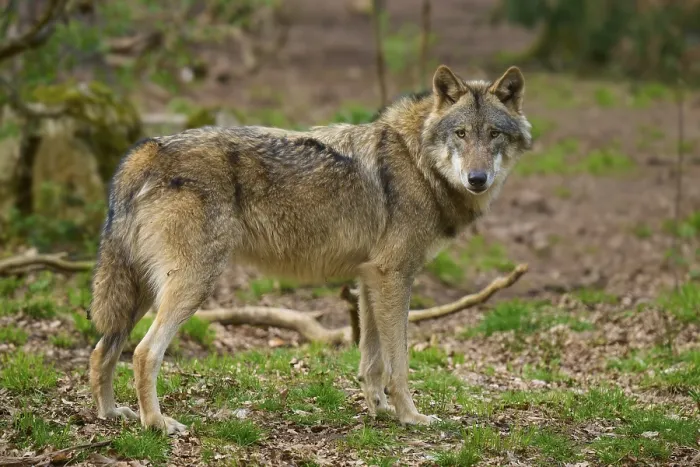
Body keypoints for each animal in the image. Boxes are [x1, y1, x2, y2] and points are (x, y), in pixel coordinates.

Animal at [87, 64, 533, 434]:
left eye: (493, 134)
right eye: (461, 134)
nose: (478, 179)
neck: (417, 160)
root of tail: (146, 149)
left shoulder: (369, 278)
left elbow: (372, 361)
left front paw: (379, 411)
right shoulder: (393, 276)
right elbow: (400, 363)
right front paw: (411, 417)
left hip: (143, 292)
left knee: (101, 351)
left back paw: (110, 414)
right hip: (191, 286)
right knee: (143, 353)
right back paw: (157, 424)